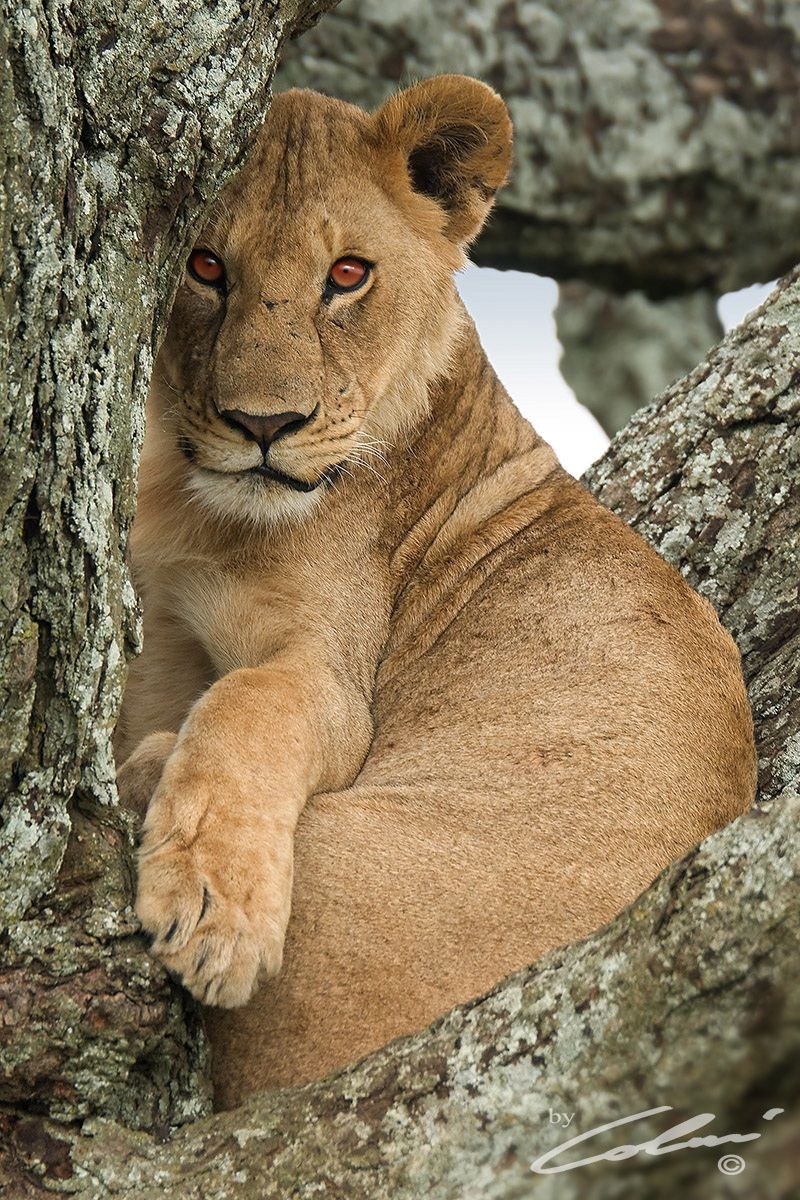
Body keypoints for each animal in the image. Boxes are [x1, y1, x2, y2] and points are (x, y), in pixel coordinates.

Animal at [115, 76, 757, 1111]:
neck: (190, 497)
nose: (264, 425)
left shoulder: (333, 677)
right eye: (205, 266)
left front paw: (214, 912)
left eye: (347, 275)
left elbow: (248, 702)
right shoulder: (163, 619)